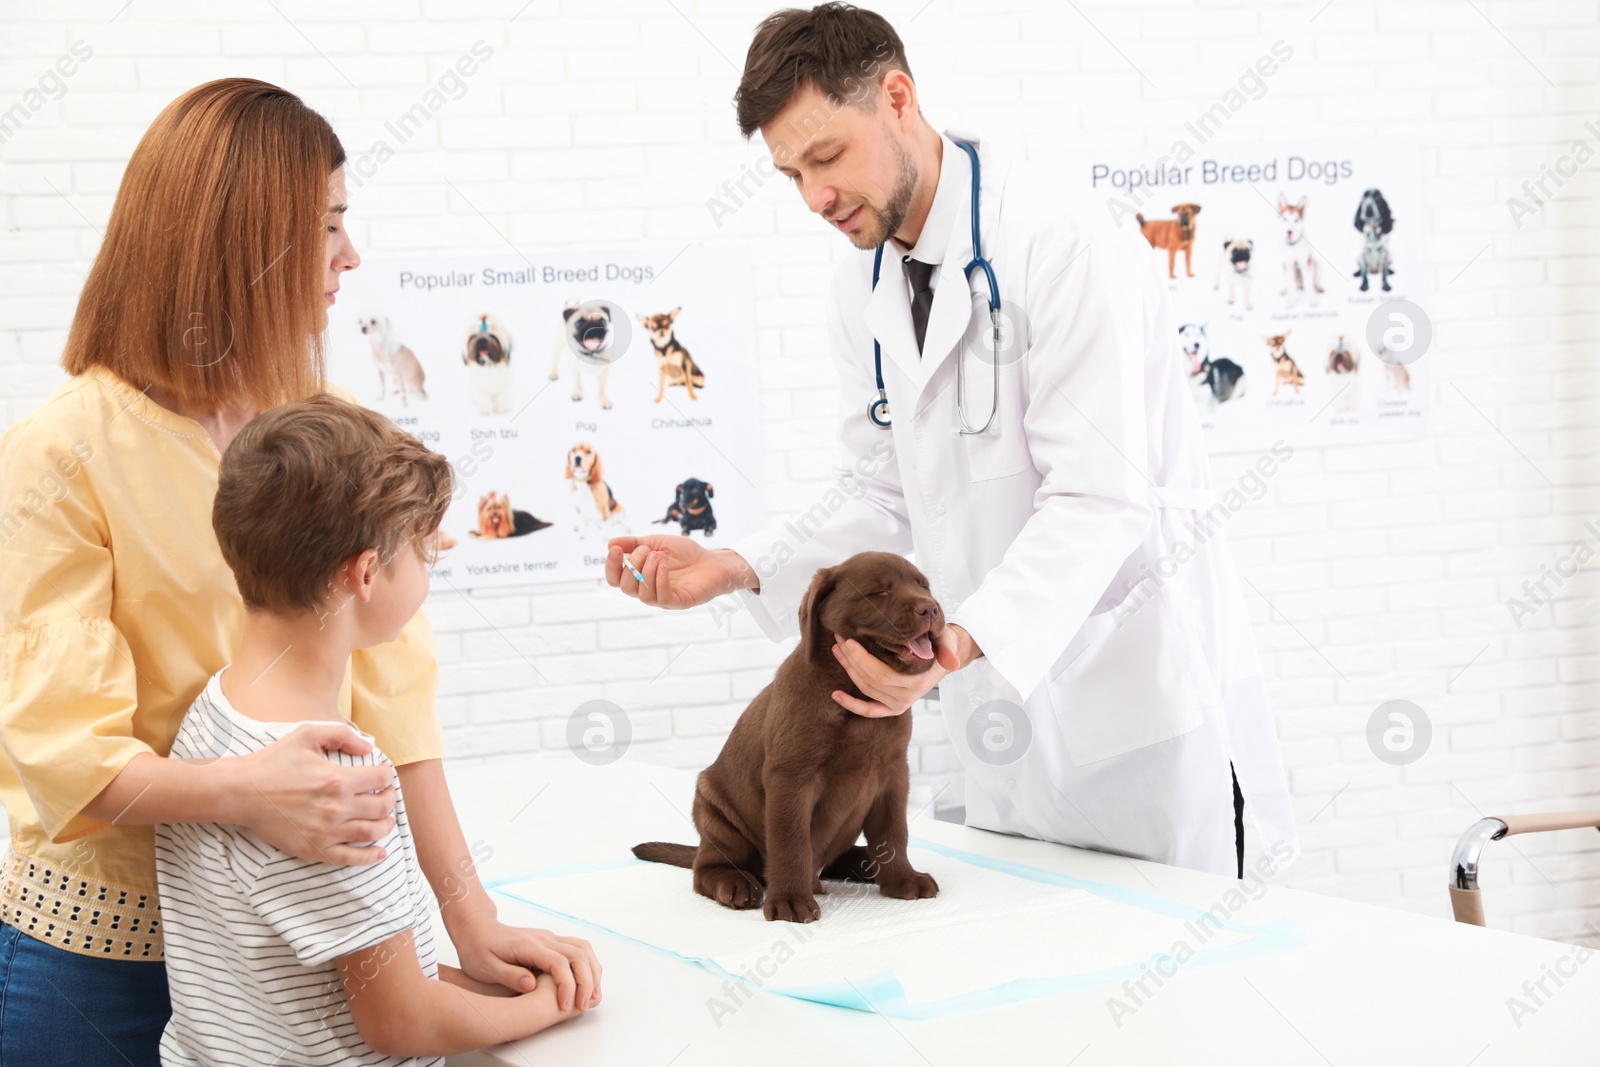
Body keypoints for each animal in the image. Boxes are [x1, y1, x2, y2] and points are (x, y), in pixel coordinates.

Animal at [604, 4, 1292, 883]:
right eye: (800, 170)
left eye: (824, 156)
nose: (934, 611)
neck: (924, 221)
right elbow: (875, 486)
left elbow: (1090, 489)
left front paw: (893, 876)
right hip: (717, 806)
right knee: (713, 856)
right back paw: (741, 880)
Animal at [633, 556, 940, 921]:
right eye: (879, 591)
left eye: (924, 586)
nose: (931, 609)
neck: (853, 695)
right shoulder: (791, 777)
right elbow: (791, 842)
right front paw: (790, 900)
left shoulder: (893, 774)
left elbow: (893, 833)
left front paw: (903, 878)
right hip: (714, 812)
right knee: (706, 869)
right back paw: (737, 884)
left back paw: (863, 865)